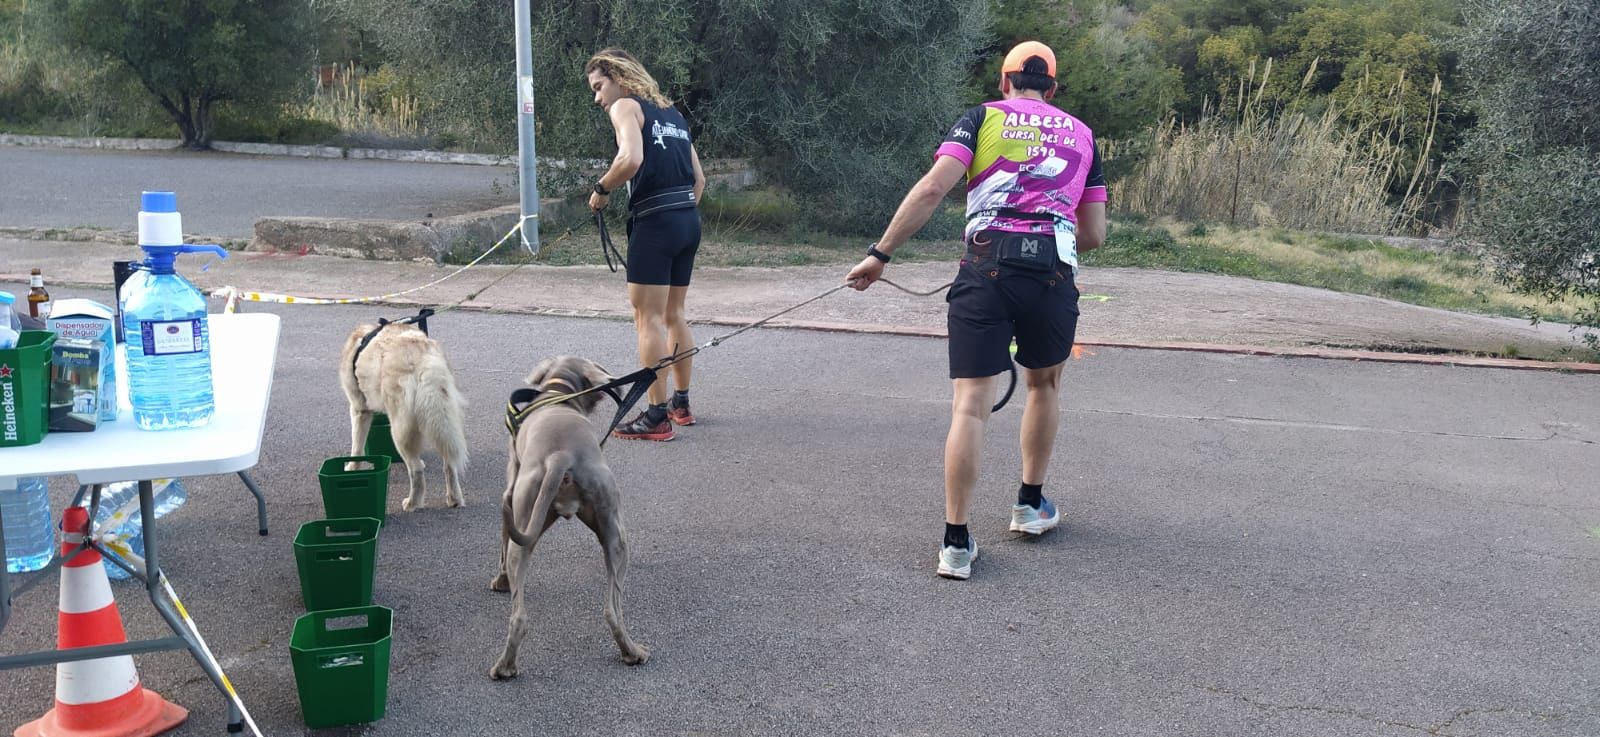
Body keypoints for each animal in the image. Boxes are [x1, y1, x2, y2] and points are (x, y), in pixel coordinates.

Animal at [336, 321, 467, 511]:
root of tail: (423, 360)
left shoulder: (359, 410)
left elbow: (357, 448)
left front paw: (352, 468)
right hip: (444, 424)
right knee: (449, 465)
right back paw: (454, 499)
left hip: (399, 431)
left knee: (416, 469)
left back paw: (412, 503)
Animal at [486, 353, 649, 674]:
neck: (558, 393)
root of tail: (561, 456)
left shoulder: (510, 482)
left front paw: (499, 582)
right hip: (612, 528)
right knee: (611, 610)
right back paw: (632, 653)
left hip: (524, 506)